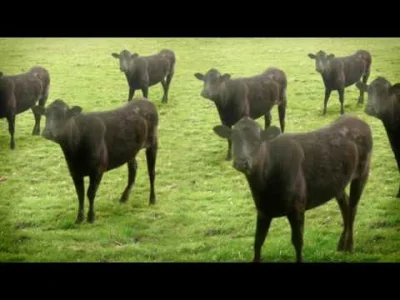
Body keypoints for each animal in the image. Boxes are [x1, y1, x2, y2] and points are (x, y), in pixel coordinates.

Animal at [31, 97, 159, 224]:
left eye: (63, 115)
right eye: (46, 114)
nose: (47, 132)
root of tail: (144, 100)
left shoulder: (97, 170)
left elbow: (90, 193)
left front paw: (91, 217)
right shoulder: (74, 172)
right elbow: (80, 194)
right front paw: (79, 218)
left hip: (153, 143)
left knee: (151, 172)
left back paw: (152, 199)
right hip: (131, 151)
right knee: (133, 169)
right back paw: (124, 198)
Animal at [214, 115, 374, 262]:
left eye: (256, 141)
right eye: (234, 139)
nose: (242, 163)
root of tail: (358, 119)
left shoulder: (297, 207)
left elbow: (298, 242)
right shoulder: (263, 210)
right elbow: (258, 241)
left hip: (362, 173)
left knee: (352, 207)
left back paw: (350, 246)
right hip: (337, 182)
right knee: (345, 206)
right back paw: (341, 245)